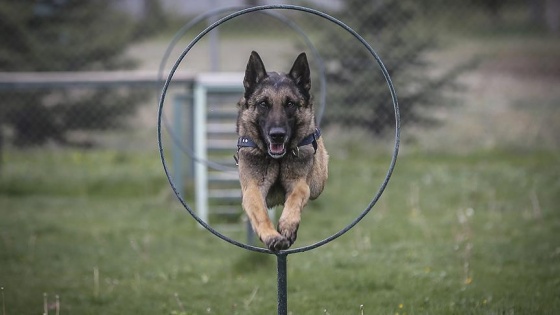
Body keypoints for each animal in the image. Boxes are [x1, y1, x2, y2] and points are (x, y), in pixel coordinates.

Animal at [235, 51, 328, 252]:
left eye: (290, 104)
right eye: (263, 104)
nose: (277, 135)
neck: (277, 159)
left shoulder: (300, 183)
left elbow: (297, 194)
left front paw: (287, 225)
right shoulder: (252, 188)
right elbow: (260, 212)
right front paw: (272, 236)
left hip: (318, 182)